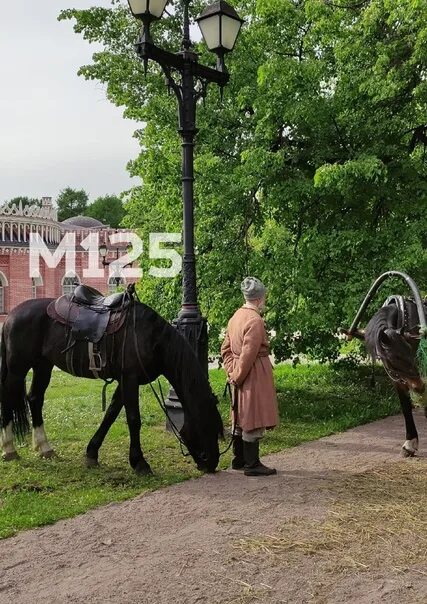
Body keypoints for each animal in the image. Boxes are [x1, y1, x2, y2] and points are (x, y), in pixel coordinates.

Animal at [0, 294, 226, 474]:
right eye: (208, 425)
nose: (212, 462)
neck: (150, 337)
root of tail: (11, 316)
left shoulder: (124, 381)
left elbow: (110, 415)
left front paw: (92, 453)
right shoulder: (130, 379)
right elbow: (133, 419)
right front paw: (140, 463)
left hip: (43, 366)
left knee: (35, 399)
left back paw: (44, 447)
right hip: (17, 369)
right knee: (7, 401)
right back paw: (9, 449)